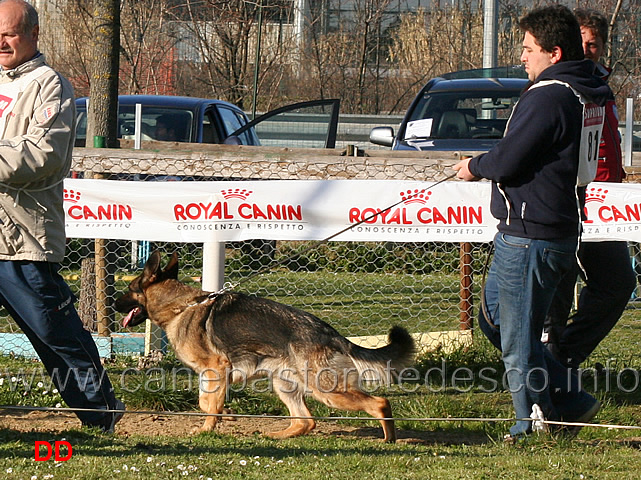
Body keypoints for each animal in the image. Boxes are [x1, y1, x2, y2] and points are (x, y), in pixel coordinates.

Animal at [114, 251, 416, 442]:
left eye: (129, 290)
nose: (114, 305)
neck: (181, 306)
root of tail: (330, 334)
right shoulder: (214, 374)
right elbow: (206, 400)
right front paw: (222, 416)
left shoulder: (216, 369)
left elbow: (207, 402)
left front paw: (208, 428)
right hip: (285, 385)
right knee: (305, 422)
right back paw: (276, 435)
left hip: (327, 391)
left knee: (380, 403)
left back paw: (389, 439)